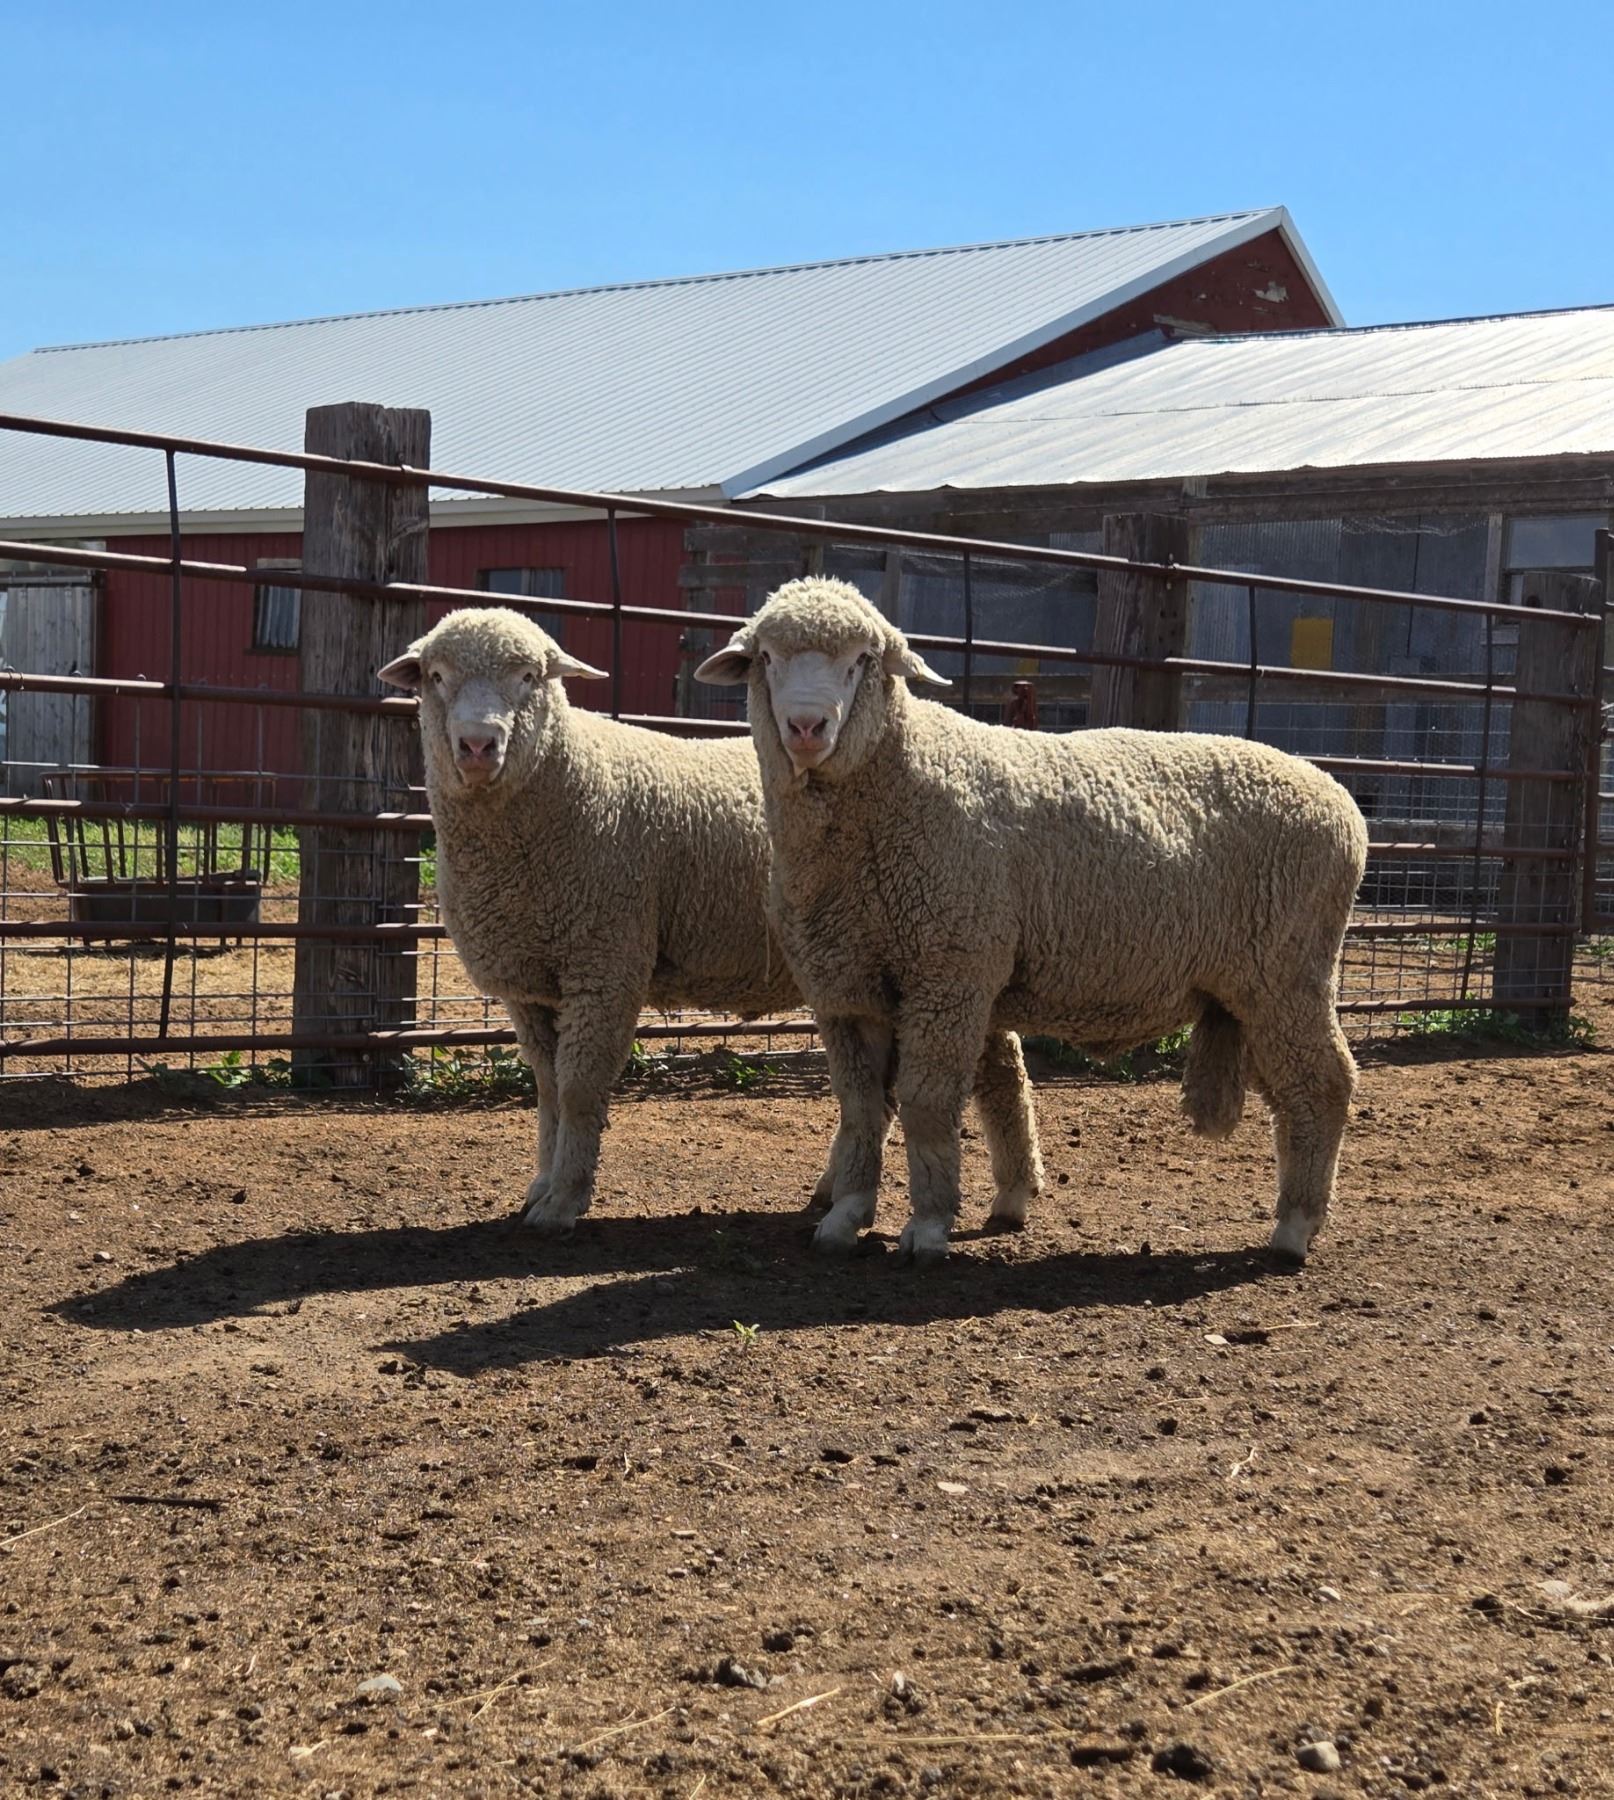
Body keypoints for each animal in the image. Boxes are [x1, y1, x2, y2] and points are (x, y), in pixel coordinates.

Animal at [379, 606, 1043, 1234]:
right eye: (436, 677)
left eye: (528, 677)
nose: (477, 745)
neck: (564, 783)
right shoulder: (531, 985)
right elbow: (545, 1089)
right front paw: (542, 1184)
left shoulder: (605, 960)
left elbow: (577, 1087)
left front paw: (563, 1200)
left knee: (992, 1070)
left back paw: (1006, 1194)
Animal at [695, 577, 1368, 1266]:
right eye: (766, 658)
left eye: (863, 659)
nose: (807, 726)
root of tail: (1341, 799)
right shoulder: (846, 987)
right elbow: (861, 1107)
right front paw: (846, 1215)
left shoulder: (948, 971)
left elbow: (926, 1101)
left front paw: (927, 1226)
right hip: (1251, 986)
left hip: (1287, 971)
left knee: (1323, 1083)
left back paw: (1294, 1227)